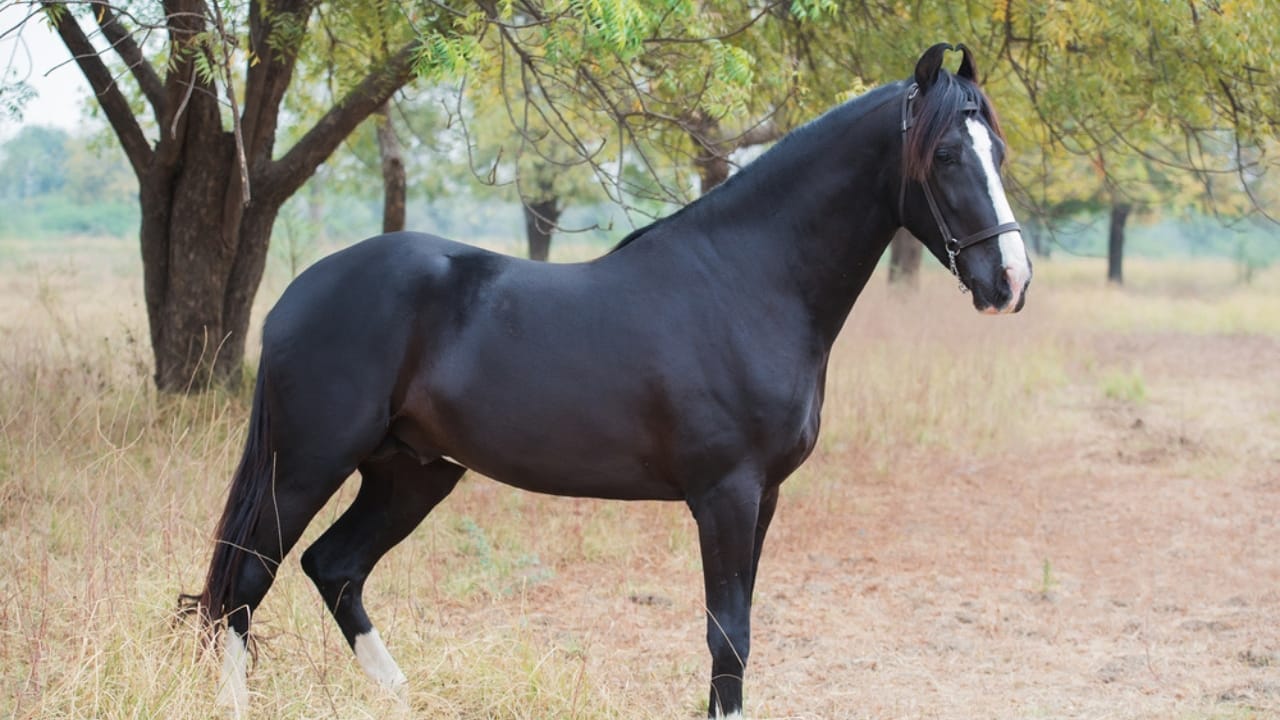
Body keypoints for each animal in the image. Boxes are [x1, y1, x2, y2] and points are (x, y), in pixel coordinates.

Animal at [184, 43, 1032, 718]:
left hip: (411, 472)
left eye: (997, 151)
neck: (747, 284)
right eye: (946, 155)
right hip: (304, 465)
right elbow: (729, 634)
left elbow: (738, 630)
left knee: (334, 569)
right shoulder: (726, 495)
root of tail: (294, 296)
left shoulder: (764, 497)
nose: (1011, 280)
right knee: (245, 584)